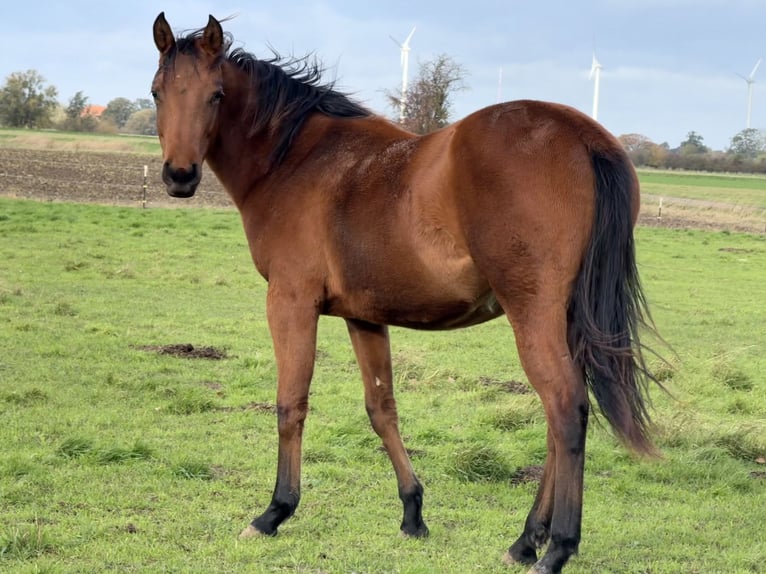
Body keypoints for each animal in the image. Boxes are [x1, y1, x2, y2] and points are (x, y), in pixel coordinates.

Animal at [151, 13, 659, 574]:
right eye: (157, 92)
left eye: (216, 95)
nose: (179, 176)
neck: (296, 160)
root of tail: (585, 135)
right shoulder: (364, 316)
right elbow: (382, 407)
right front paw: (413, 513)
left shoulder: (290, 302)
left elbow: (290, 404)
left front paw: (274, 512)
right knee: (558, 416)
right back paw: (526, 540)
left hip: (533, 314)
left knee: (566, 409)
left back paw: (557, 548)